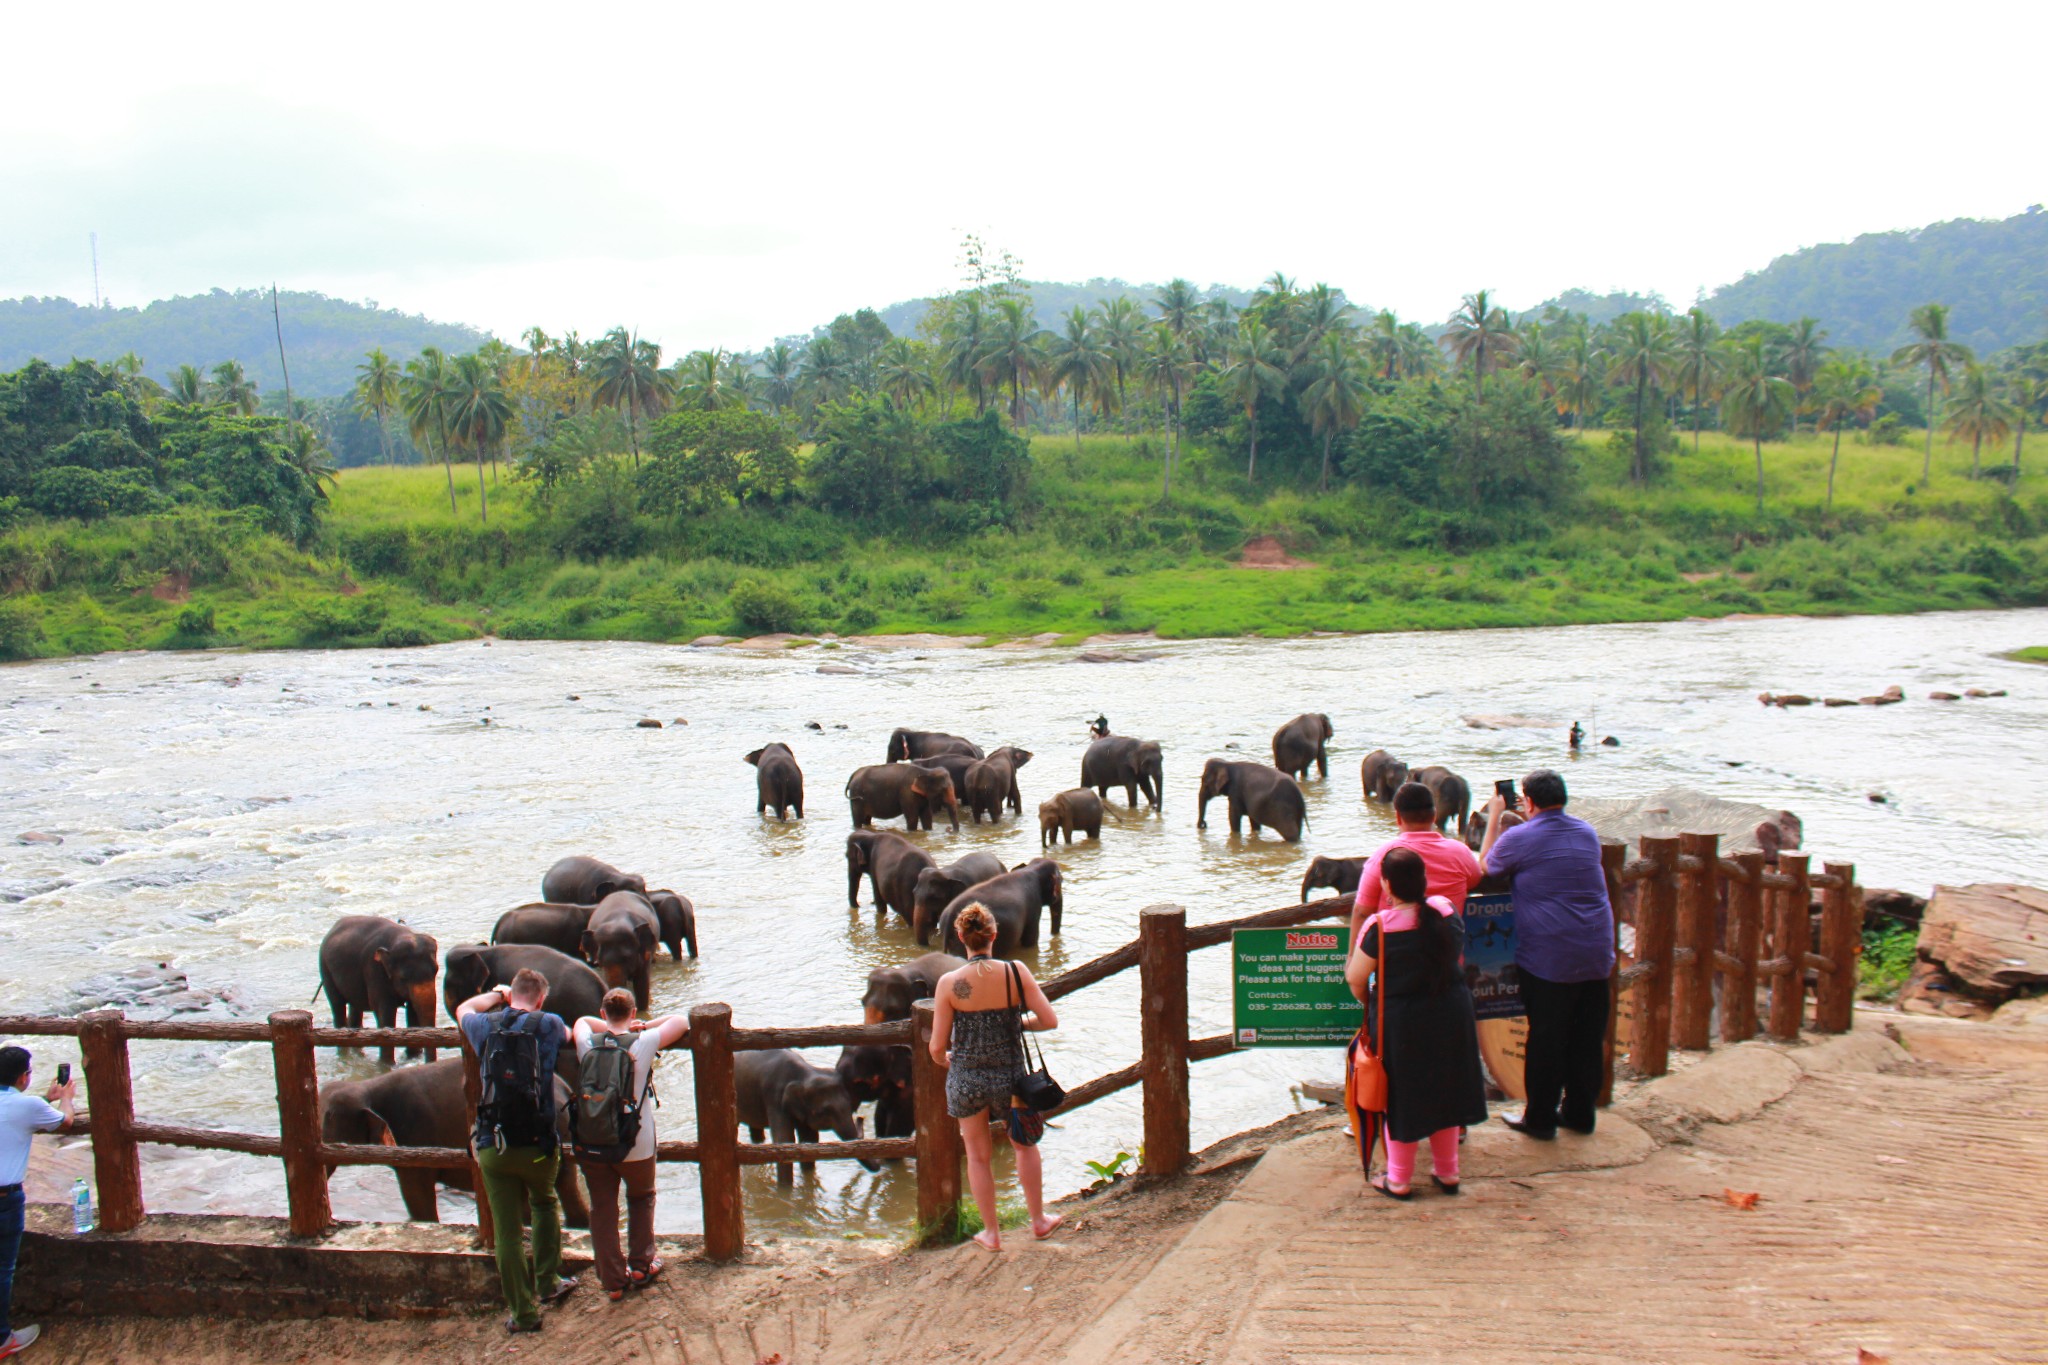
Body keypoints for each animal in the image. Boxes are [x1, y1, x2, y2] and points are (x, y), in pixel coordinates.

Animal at [315, 916, 440, 1064]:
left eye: (436, 971)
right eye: (403, 978)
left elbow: (413, 1011)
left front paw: (412, 1058)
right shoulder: (374, 970)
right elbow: (384, 1010)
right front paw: (387, 1064)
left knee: (355, 1006)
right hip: (325, 967)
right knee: (337, 1005)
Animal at [319, 1055, 589, 1227]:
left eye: (327, 1123)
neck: (367, 1086)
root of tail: (565, 1089)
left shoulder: (414, 1137)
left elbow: (416, 1192)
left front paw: (426, 1224)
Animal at [733, 1055, 876, 1186]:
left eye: (850, 1106)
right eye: (824, 1111)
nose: (861, 1118)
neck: (805, 1072)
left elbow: (810, 1139)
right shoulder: (775, 1101)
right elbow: (784, 1140)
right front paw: (785, 1191)